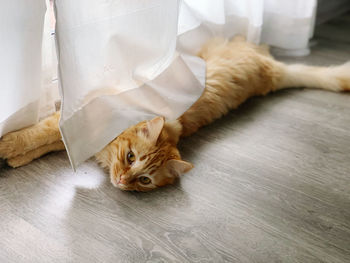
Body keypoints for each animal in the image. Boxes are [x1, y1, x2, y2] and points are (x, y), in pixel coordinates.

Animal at [0, 36, 350, 191]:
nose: (123, 180)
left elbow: (42, 136)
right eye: (130, 157)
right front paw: (13, 152)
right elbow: (44, 137)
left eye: (143, 179)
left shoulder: (84, 128)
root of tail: (270, 71)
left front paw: (10, 151)